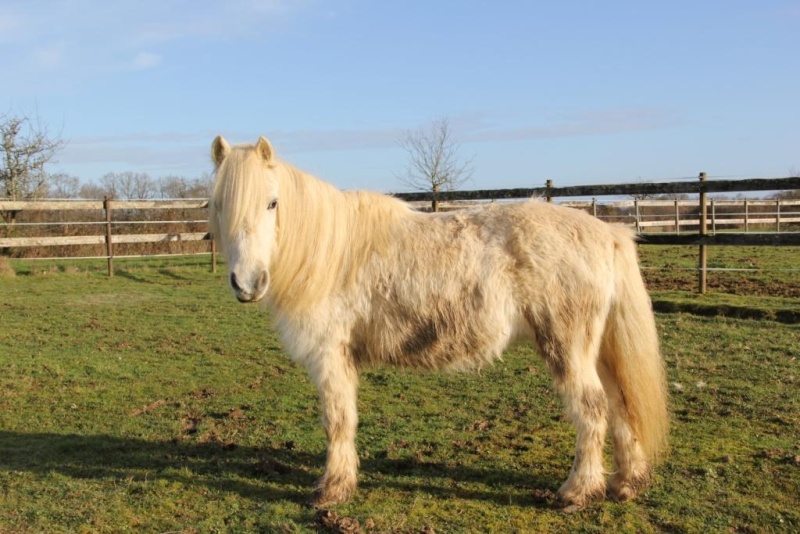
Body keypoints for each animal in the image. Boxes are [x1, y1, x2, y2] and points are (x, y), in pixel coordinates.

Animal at [208, 136, 668, 512]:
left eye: (272, 202)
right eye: (218, 204)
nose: (247, 282)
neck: (332, 253)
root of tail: (607, 233)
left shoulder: (330, 356)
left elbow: (337, 420)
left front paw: (332, 489)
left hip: (568, 348)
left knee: (592, 409)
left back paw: (577, 491)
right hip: (598, 350)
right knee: (619, 403)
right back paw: (626, 482)